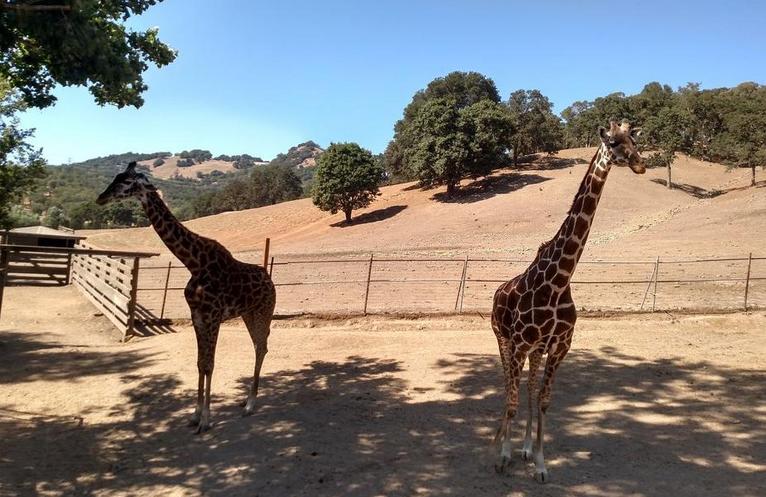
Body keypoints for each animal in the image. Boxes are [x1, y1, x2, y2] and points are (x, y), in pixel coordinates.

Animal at [95, 162, 276, 430]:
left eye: (127, 182)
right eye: (115, 177)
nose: (101, 197)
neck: (194, 264)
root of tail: (270, 280)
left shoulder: (212, 317)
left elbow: (210, 364)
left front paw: (206, 420)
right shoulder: (197, 316)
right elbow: (200, 363)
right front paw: (194, 415)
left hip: (265, 310)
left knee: (261, 347)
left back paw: (251, 405)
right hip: (248, 313)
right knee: (258, 346)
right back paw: (246, 401)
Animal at [492, 121, 648, 480]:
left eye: (635, 140)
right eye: (613, 142)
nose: (640, 164)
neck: (560, 279)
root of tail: (497, 292)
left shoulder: (560, 345)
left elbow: (544, 399)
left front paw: (539, 463)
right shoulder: (519, 343)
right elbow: (512, 399)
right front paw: (503, 456)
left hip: (534, 350)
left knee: (528, 387)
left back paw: (522, 448)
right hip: (504, 340)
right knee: (508, 385)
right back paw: (503, 445)